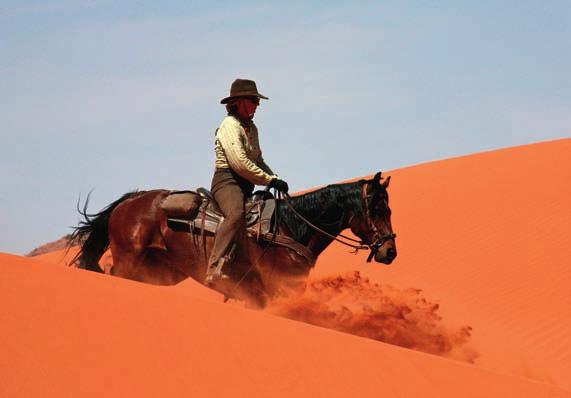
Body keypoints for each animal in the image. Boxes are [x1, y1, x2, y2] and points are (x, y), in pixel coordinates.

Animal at [69, 172, 396, 308]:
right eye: (379, 209)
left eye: (390, 209)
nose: (390, 252)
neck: (290, 229)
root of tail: (128, 202)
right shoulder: (277, 290)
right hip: (128, 261)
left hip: (157, 271)